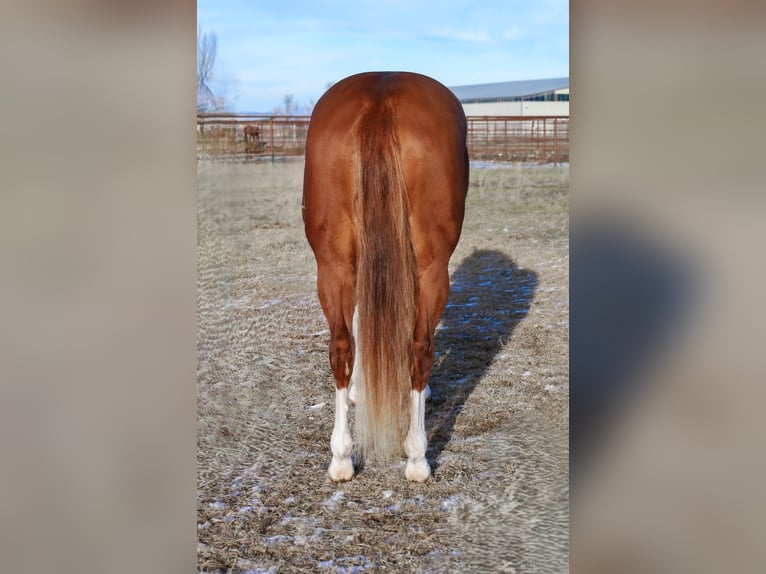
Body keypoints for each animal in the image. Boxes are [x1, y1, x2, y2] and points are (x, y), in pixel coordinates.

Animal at [302, 72, 469, 482]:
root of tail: (380, 97)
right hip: (431, 266)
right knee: (420, 347)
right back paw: (417, 458)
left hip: (332, 264)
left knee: (340, 345)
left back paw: (341, 458)